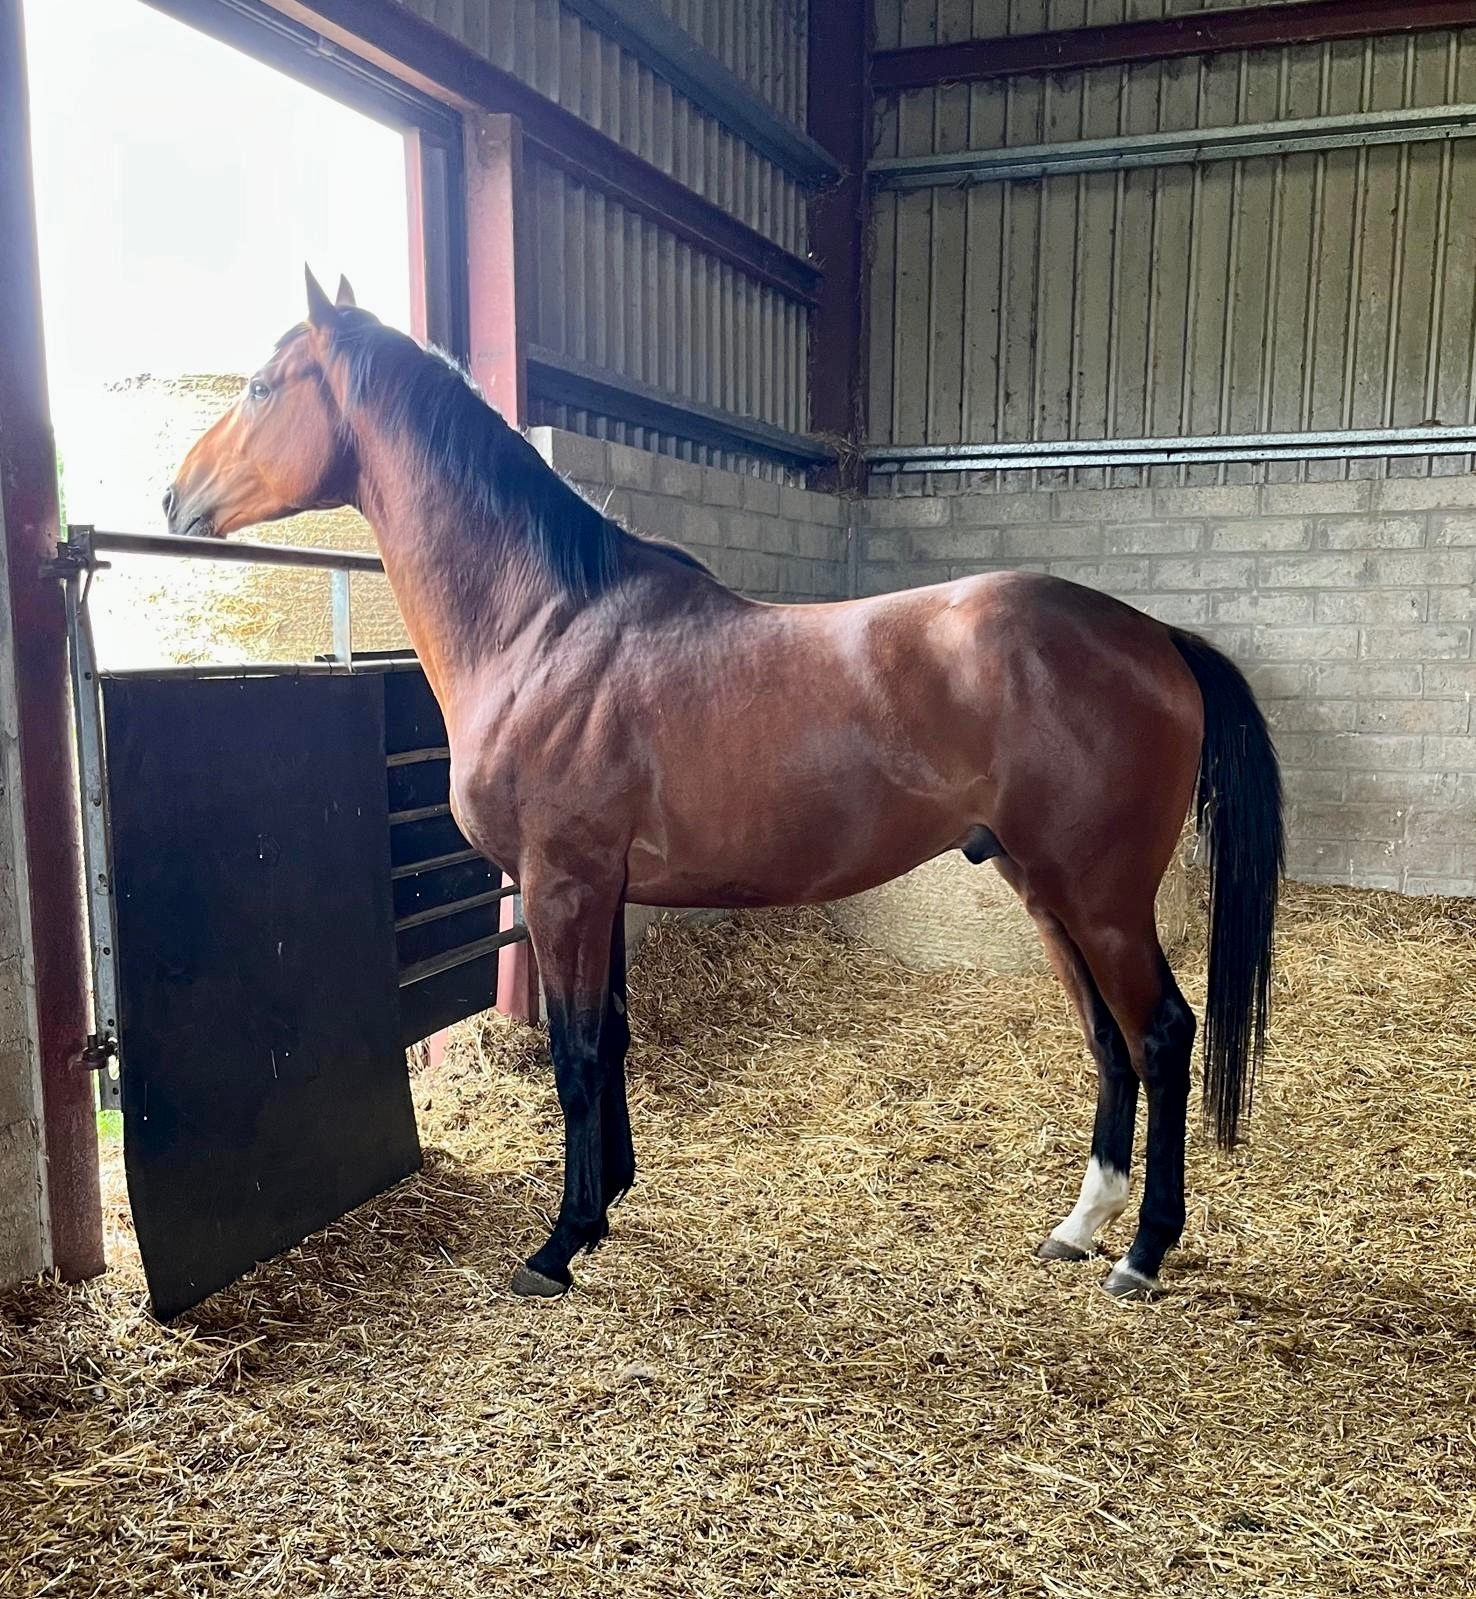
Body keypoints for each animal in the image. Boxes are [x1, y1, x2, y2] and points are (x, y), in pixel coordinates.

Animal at [165, 269, 1283, 1302]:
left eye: (261, 386)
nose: (174, 498)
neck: (546, 628)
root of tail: (1156, 637)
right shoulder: (602, 891)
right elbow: (610, 1040)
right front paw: (606, 1205)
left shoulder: (562, 886)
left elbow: (575, 1056)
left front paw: (558, 1247)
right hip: (1044, 888)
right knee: (1106, 1040)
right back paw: (1081, 1225)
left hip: (1102, 897)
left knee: (1160, 1035)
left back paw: (1142, 1251)